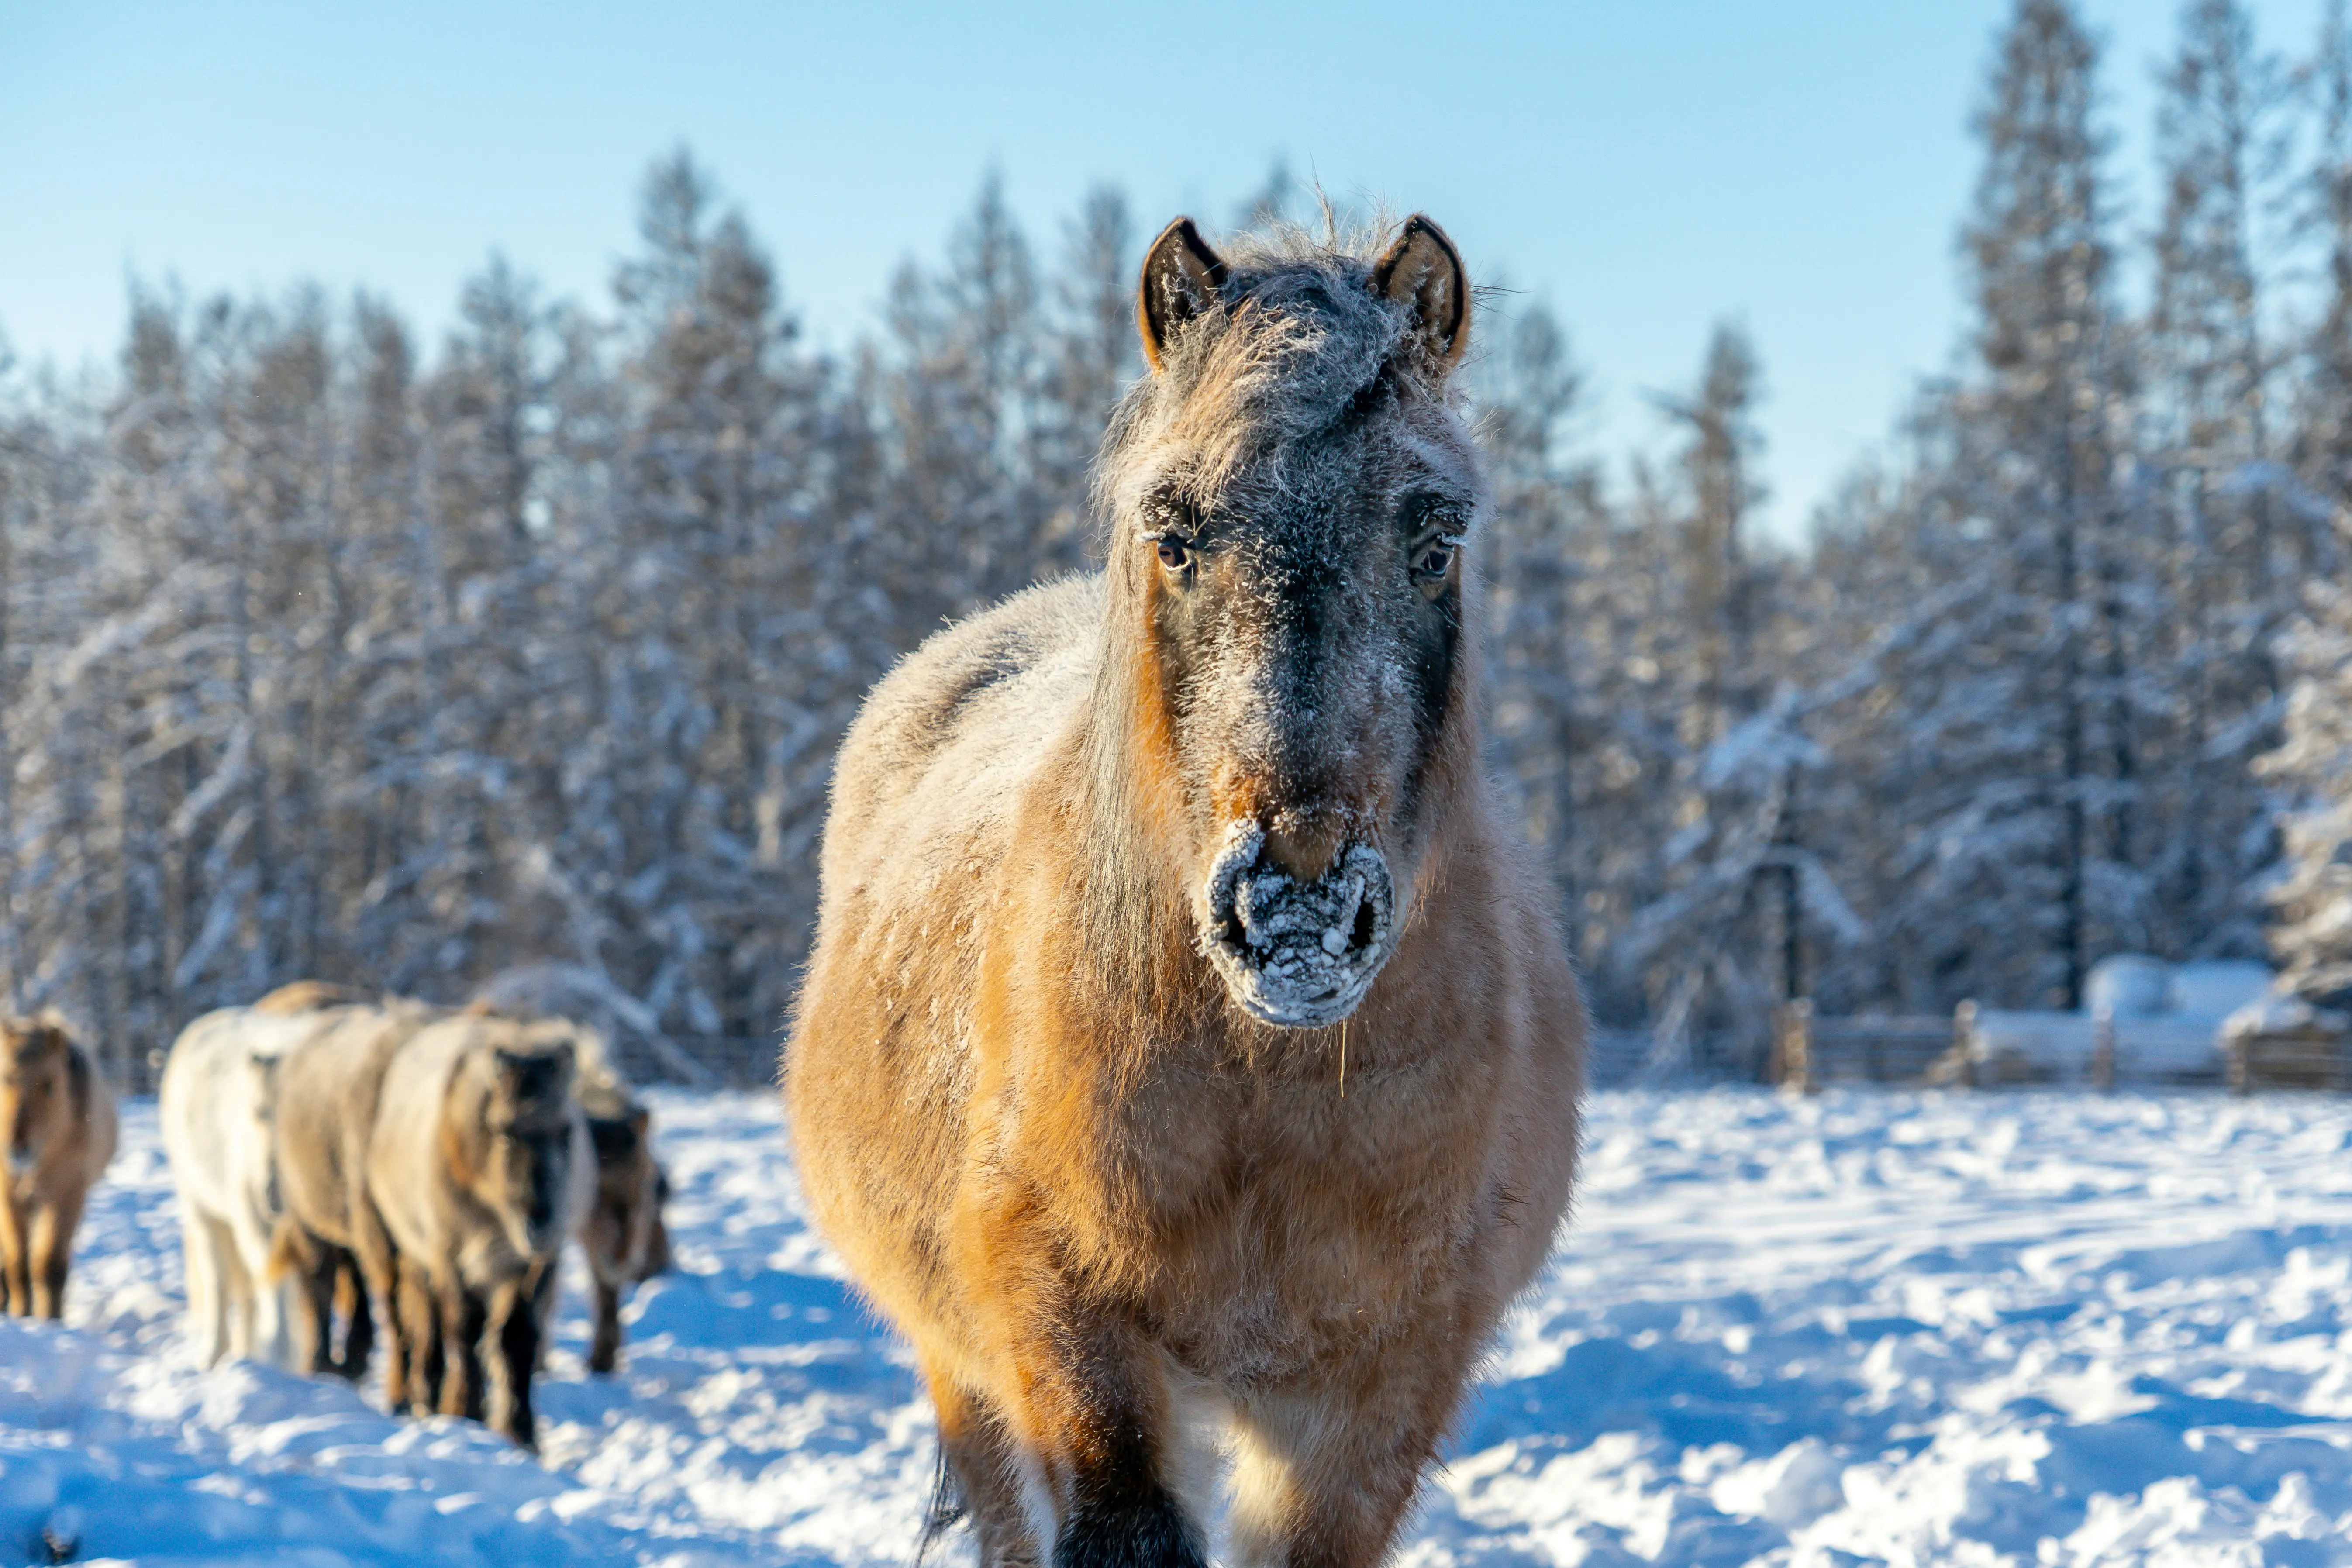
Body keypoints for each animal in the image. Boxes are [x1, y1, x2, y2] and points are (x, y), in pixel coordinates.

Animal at [0, 1011, 117, 1316]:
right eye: (6, 1079)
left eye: (49, 1083)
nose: (18, 1149)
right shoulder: (8, 1198)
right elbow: (17, 1265)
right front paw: (21, 1315)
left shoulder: (66, 1194)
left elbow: (49, 1266)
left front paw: (49, 1319)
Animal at [156, 1011, 320, 1363]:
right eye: (260, 1112)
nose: (273, 1195)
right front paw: (282, 1357)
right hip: (207, 1211)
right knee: (224, 1286)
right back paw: (218, 1357)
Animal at [785, 215, 1580, 1568]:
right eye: (1174, 531)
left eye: (1435, 536)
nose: (1297, 914)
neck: (1269, 1085)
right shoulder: (1065, 1317)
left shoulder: (1382, 1383)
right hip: (961, 1366)